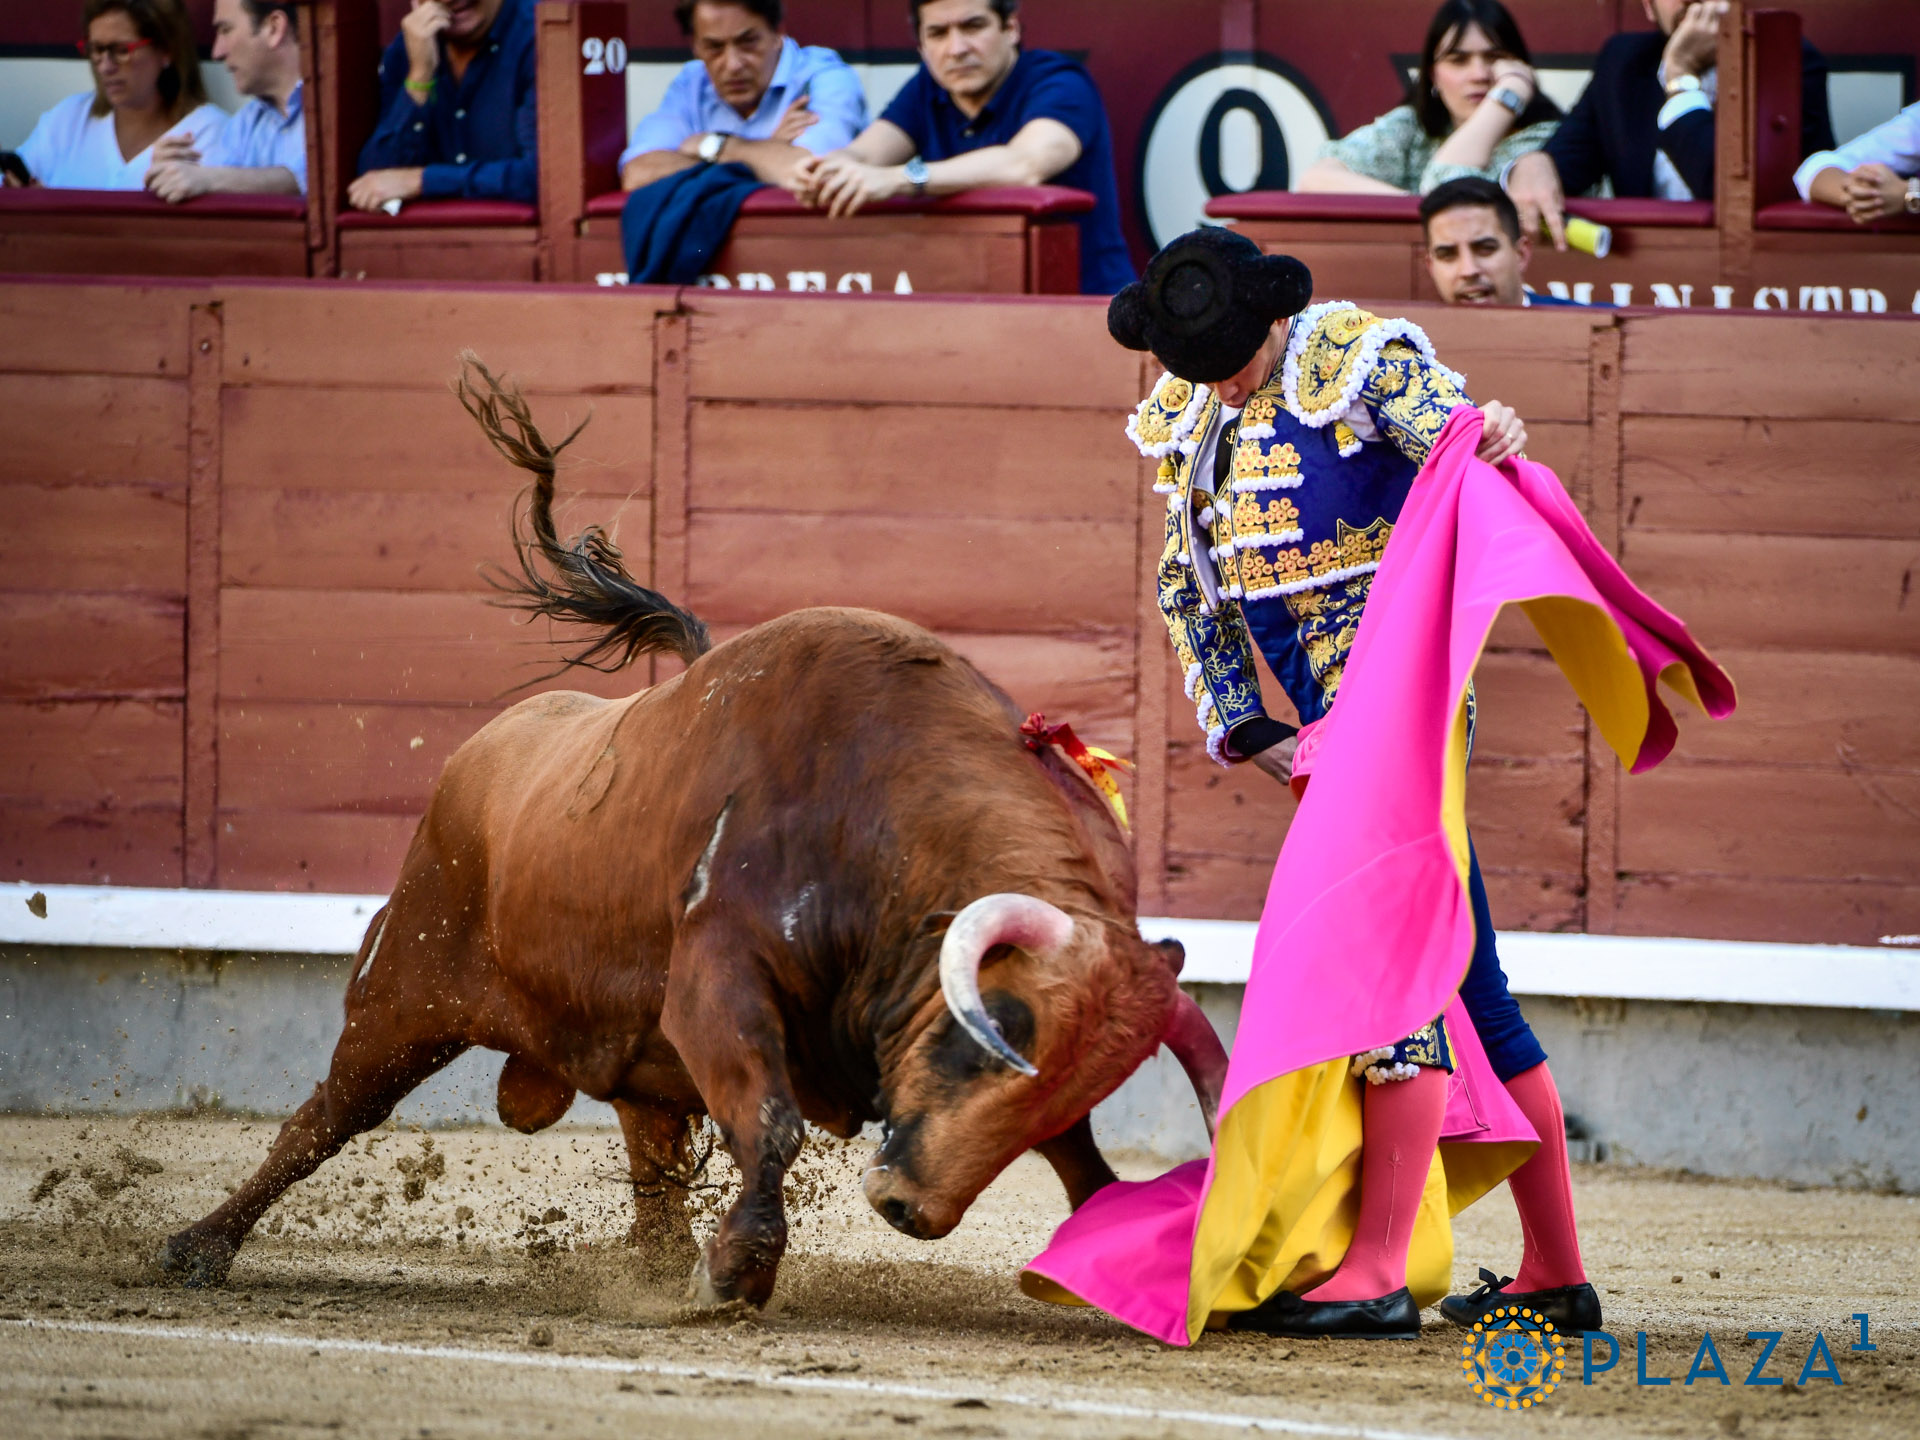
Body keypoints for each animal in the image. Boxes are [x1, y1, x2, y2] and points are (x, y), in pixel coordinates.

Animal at [157, 360, 1221, 1305]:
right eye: (991, 1036)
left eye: (1069, 1074)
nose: (907, 1208)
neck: (886, 828)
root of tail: (488, 748)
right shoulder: (718, 978)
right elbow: (774, 1123)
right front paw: (738, 1272)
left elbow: (1082, 1163)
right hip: (402, 991)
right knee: (327, 1116)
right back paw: (196, 1247)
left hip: (625, 1052)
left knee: (651, 1156)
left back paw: (653, 1266)